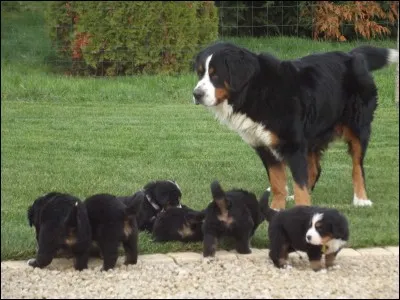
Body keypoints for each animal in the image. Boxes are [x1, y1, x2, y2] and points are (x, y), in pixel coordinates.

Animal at [192, 41, 398, 211]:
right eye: (200, 73)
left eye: (216, 74)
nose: (196, 94)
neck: (254, 91)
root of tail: (352, 55)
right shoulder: (264, 145)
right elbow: (278, 182)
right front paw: (276, 208)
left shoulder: (293, 143)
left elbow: (300, 184)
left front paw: (302, 210)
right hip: (312, 136)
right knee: (315, 169)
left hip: (357, 129)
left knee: (357, 166)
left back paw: (361, 199)